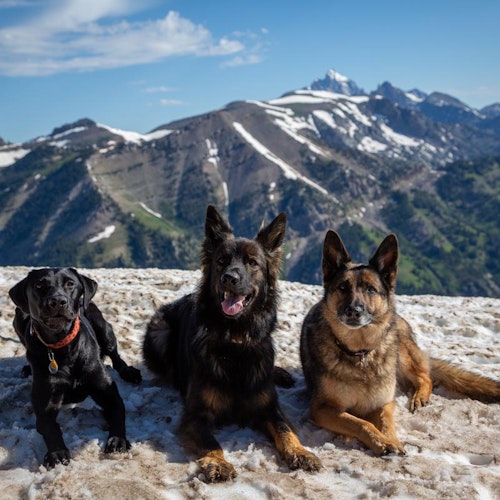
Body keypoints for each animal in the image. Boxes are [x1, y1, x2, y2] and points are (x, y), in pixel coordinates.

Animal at [8, 268, 142, 466]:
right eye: (39, 285)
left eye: (70, 283)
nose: (57, 301)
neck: (63, 348)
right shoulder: (45, 405)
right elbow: (49, 427)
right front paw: (57, 452)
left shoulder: (107, 392)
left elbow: (119, 412)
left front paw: (118, 440)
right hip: (19, 317)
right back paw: (27, 368)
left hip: (102, 325)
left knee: (115, 355)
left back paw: (128, 371)